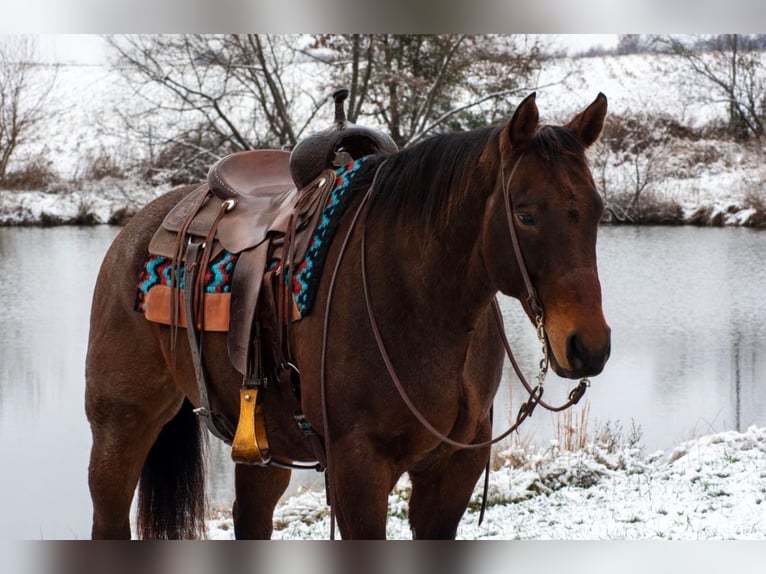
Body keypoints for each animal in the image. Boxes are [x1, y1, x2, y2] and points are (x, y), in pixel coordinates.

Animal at [85, 92, 611, 539]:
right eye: (525, 215)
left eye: (598, 209)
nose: (588, 346)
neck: (420, 304)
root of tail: (138, 226)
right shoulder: (358, 472)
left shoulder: (452, 472)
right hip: (120, 427)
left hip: (262, 448)